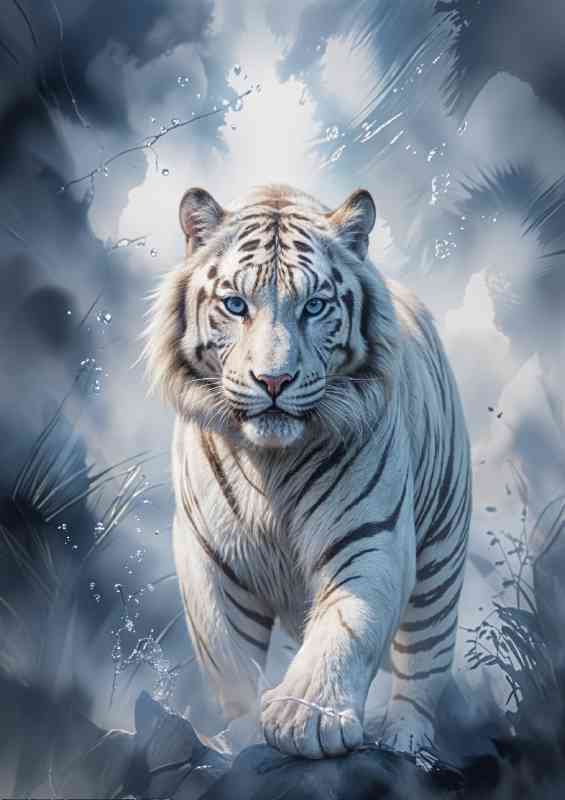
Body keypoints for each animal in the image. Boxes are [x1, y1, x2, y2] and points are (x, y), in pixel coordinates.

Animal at [144, 183, 471, 759]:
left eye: (314, 306)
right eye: (235, 304)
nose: (273, 380)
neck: (272, 463)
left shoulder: (371, 537)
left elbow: (346, 629)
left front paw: (306, 719)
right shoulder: (209, 554)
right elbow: (230, 660)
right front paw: (248, 738)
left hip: (441, 558)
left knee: (424, 661)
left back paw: (407, 740)